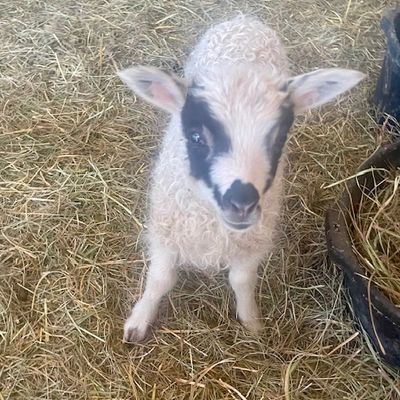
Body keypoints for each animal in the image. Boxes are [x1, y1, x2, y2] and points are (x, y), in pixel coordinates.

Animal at [118, 15, 365, 343]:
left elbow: (242, 281)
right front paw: (139, 321)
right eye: (196, 136)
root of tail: (244, 19)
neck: (210, 225)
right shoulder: (166, 231)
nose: (242, 202)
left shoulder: (251, 242)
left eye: (278, 138)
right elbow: (160, 280)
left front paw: (252, 323)